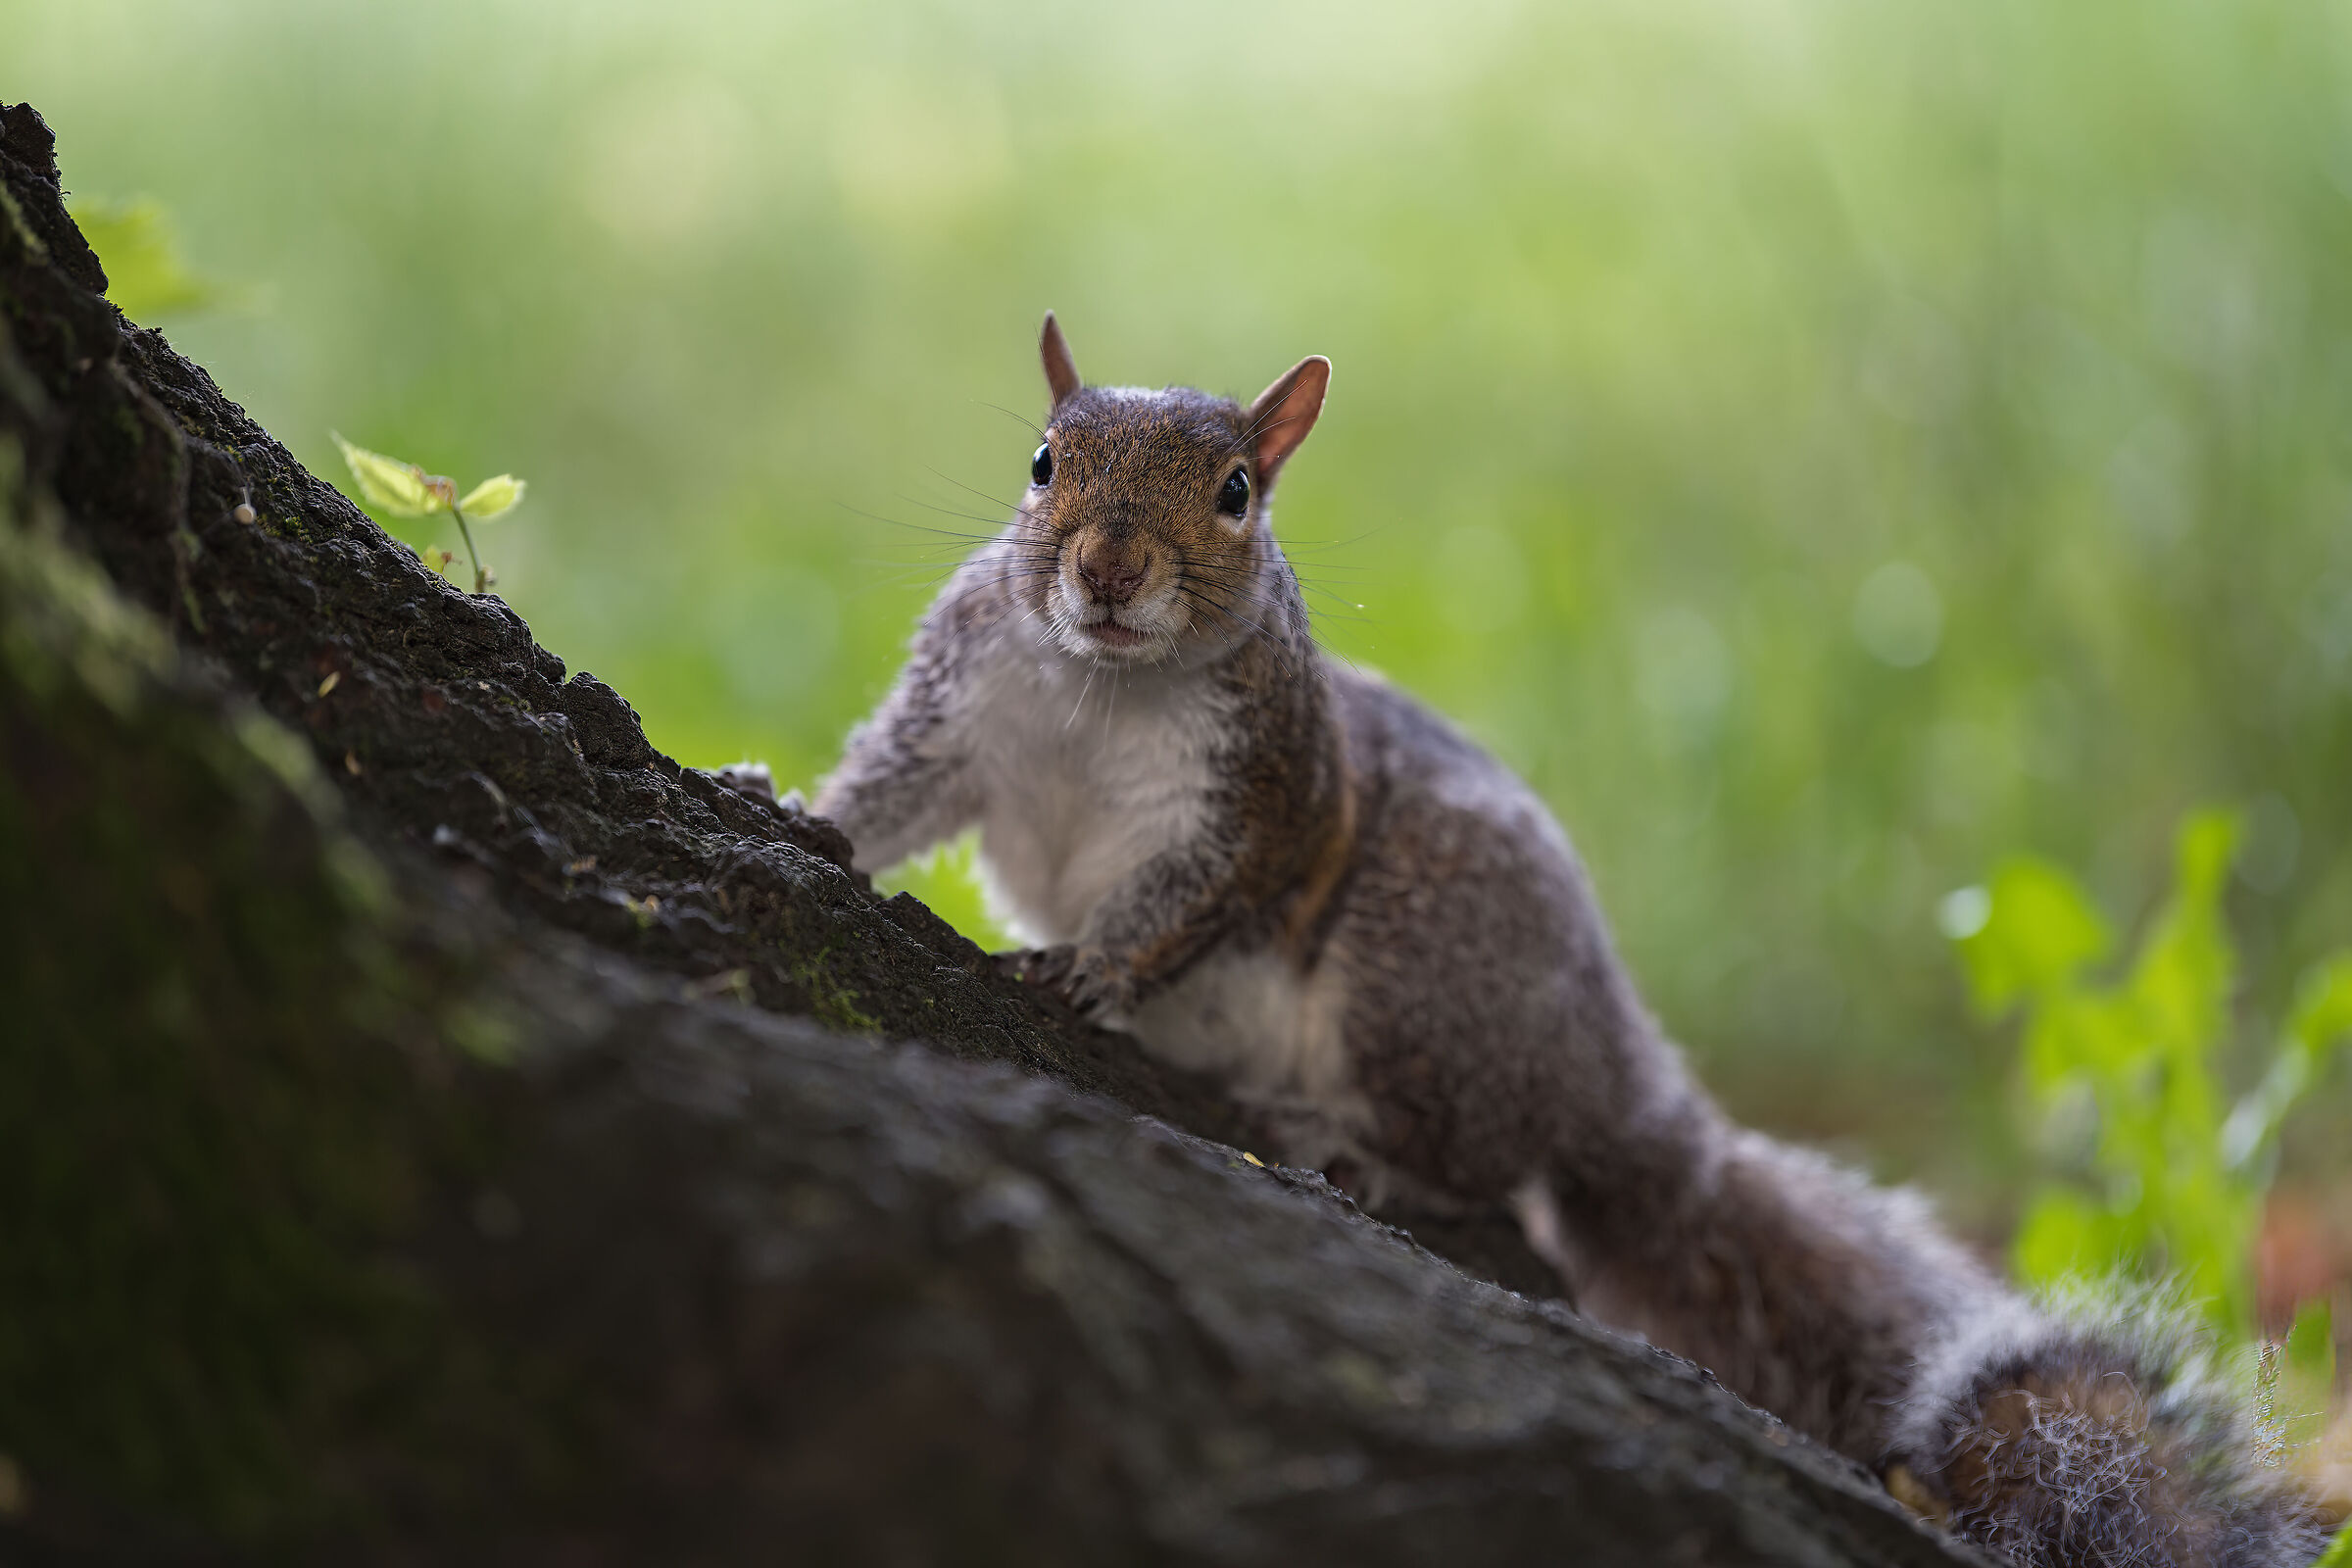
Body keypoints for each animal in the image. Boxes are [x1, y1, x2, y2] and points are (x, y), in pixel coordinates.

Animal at [813, 314, 2329, 1568]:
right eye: (1043, 464)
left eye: (1239, 492)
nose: (1112, 567)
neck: (1102, 683)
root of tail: (1617, 1081)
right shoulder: (962, 709)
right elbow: (891, 787)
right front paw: (808, 815)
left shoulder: (1273, 799)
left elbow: (1189, 896)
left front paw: (1094, 966)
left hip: (1418, 967)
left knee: (1482, 1161)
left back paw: (1357, 1142)